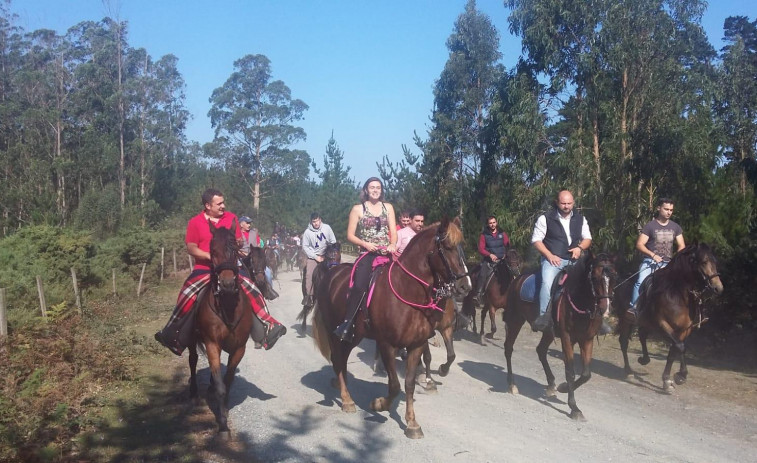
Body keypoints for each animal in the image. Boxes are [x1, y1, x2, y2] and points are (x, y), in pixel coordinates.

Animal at [188, 221, 255, 438]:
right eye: (212, 251)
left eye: (235, 249)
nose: (226, 284)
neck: (227, 306)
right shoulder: (211, 344)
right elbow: (220, 386)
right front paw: (223, 424)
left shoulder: (239, 348)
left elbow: (227, 380)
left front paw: (224, 410)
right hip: (192, 340)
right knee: (192, 361)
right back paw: (194, 394)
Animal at [310, 219, 470, 440]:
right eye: (447, 247)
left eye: (462, 247)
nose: (465, 286)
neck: (408, 291)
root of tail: (331, 274)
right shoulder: (387, 344)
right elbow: (394, 385)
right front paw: (378, 404)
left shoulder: (417, 345)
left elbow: (409, 383)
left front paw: (412, 423)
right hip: (334, 330)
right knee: (337, 358)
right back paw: (347, 399)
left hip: (355, 335)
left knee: (341, 358)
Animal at [502, 252, 616, 422]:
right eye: (594, 277)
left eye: (614, 276)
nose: (605, 309)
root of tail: (518, 279)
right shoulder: (567, 338)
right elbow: (570, 371)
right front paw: (574, 408)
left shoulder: (587, 339)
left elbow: (586, 374)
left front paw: (563, 388)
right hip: (515, 320)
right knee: (509, 348)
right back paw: (511, 384)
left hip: (548, 332)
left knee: (541, 350)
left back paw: (551, 384)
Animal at [616, 245, 724, 394]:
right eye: (703, 262)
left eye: (715, 262)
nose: (718, 288)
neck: (677, 294)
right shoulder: (662, 325)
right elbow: (680, 347)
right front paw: (681, 376)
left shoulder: (684, 330)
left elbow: (675, 351)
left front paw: (668, 380)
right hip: (626, 320)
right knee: (624, 342)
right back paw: (629, 371)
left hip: (645, 323)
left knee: (642, 336)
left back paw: (644, 359)